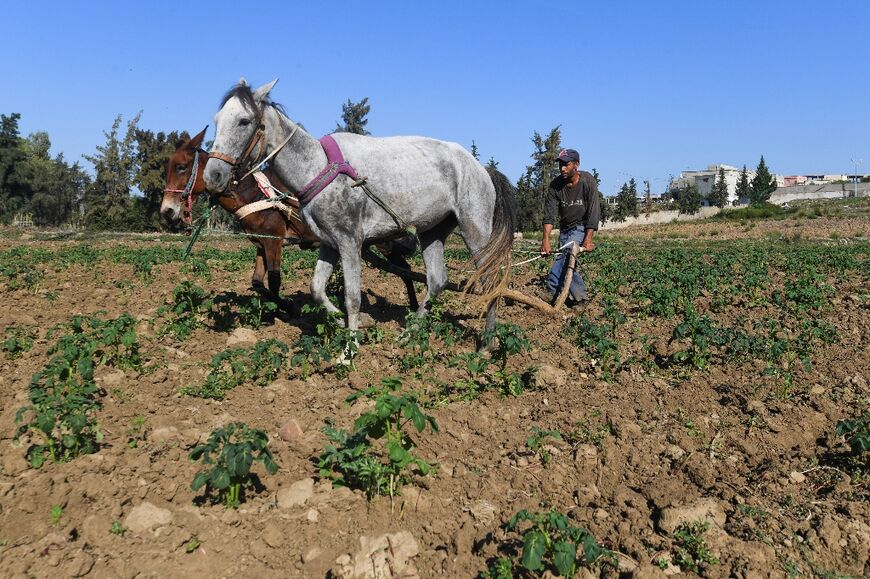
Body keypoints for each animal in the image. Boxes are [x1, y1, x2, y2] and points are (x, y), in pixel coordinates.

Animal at [164, 128, 422, 312]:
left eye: (181, 167)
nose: (167, 211)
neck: (256, 194)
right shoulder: (262, 243)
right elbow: (257, 282)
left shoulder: (274, 242)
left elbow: (275, 281)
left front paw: (287, 308)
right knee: (403, 268)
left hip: (384, 242)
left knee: (405, 269)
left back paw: (415, 305)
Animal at [203, 79, 516, 338]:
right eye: (217, 120)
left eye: (244, 121)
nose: (212, 175)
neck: (318, 168)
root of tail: (482, 168)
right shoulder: (328, 243)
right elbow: (316, 289)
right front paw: (348, 321)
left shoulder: (350, 242)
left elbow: (352, 297)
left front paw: (350, 348)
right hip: (432, 231)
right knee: (437, 281)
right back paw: (410, 331)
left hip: (475, 229)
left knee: (489, 281)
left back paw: (487, 342)